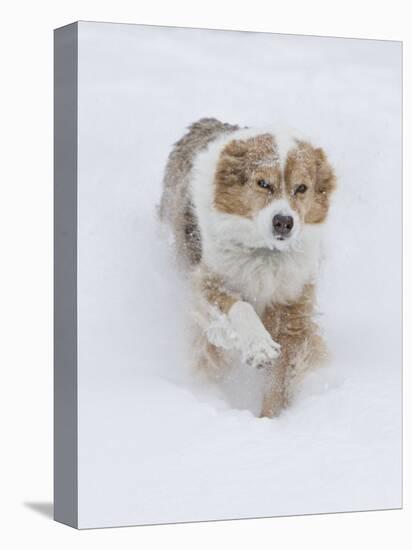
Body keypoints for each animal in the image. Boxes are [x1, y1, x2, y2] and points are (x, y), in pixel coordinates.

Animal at [159, 117, 336, 418]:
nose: (283, 222)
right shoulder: (207, 280)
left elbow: (280, 376)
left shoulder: (293, 305)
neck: (266, 254)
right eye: (263, 183)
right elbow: (239, 307)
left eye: (302, 188)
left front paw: (270, 418)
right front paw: (259, 346)